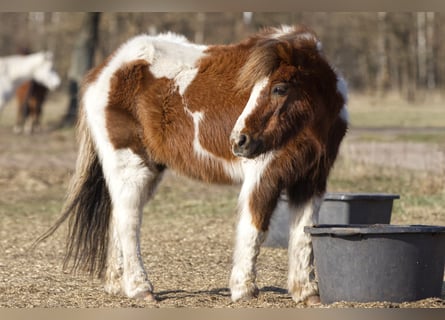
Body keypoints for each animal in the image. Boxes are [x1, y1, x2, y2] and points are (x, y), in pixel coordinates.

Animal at [35, 25, 346, 304]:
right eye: (252, 89)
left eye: (280, 88)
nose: (239, 141)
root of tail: (106, 69)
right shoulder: (263, 175)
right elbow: (254, 228)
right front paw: (244, 290)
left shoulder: (311, 180)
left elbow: (304, 234)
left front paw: (307, 293)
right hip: (130, 166)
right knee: (128, 220)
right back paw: (140, 288)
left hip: (148, 168)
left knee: (117, 216)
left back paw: (116, 284)